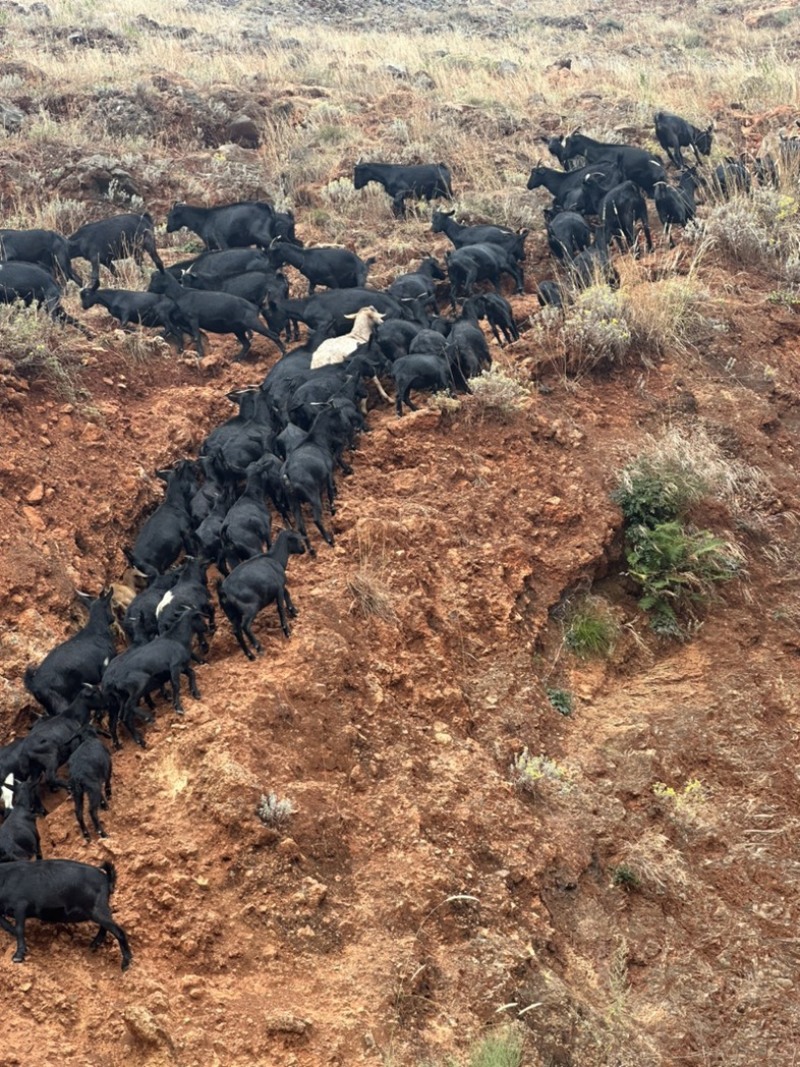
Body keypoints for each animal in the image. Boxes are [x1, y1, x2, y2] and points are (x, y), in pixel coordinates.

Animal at [0, 857, 131, 968]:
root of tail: (107, 878)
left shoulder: (21, 904)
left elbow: (19, 929)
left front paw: (18, 956)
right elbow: (5, 924)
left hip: (98, 909)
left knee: (118, 931)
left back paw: (125, 964)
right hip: (97, 911)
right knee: (106, 926)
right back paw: (93, 945)